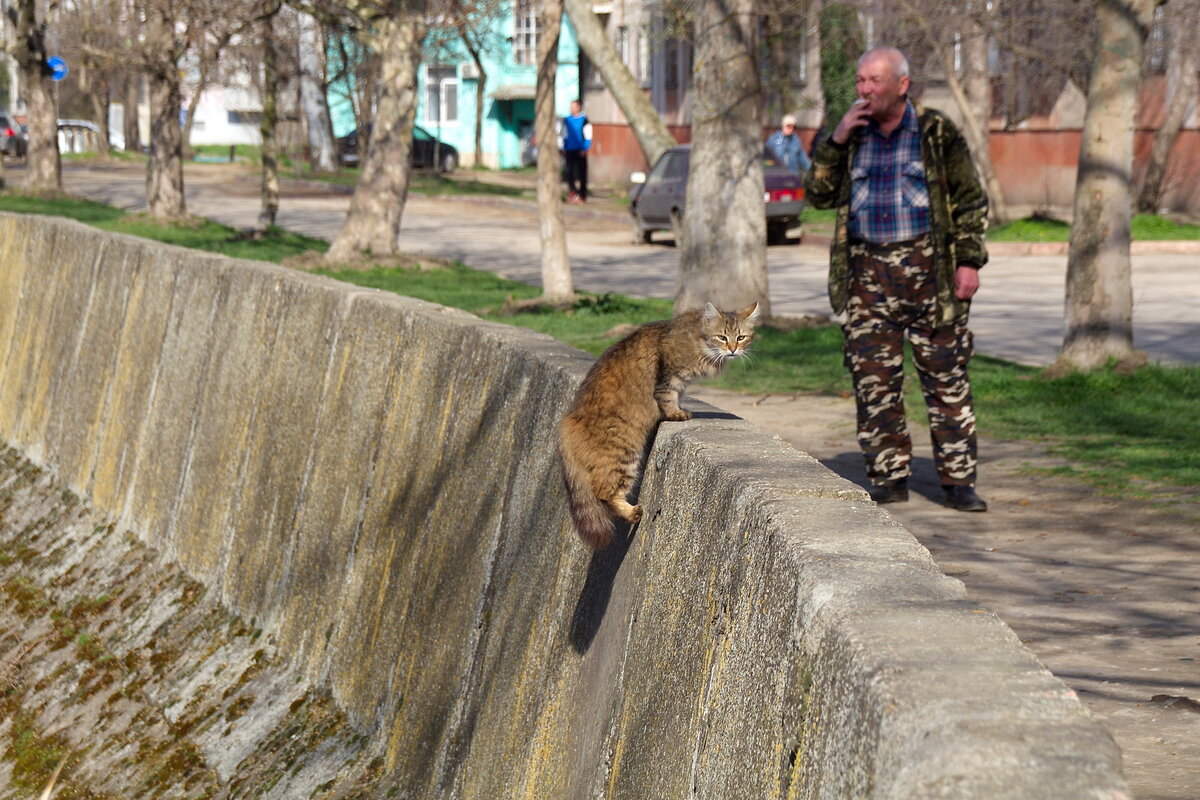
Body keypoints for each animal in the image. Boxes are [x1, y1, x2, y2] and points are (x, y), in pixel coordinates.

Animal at [559, 302, 758, 551]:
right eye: (722, 337)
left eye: (741, 337)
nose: (732, 349)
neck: (697, 338)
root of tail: (568, 420)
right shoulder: (670, 376)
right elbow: (668, 397)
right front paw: (676, 414)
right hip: (624, 455)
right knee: (604, 492)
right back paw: (632, 513)